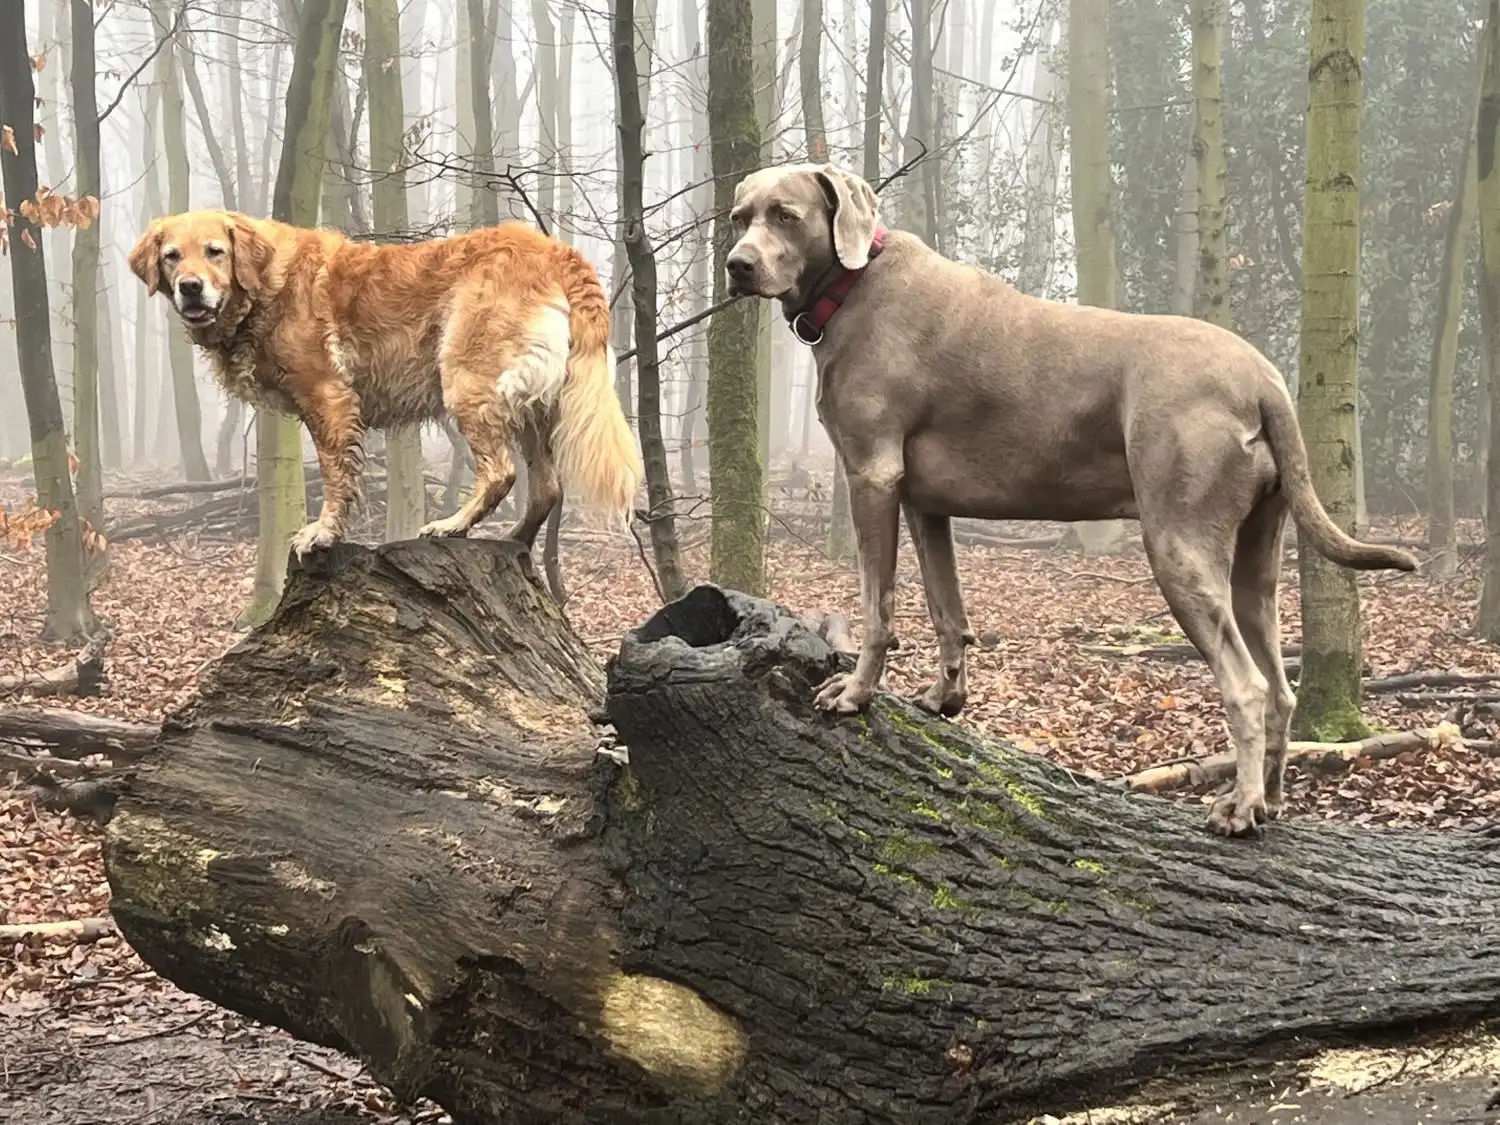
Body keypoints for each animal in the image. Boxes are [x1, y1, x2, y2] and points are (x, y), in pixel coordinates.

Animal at [726, 165, 1416, 840]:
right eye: (738, 217)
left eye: (786, 215)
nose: (736, 265)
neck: (854, 283)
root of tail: (1263, 377)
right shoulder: (925, 504)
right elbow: (949, 612)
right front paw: (944, 699)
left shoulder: (872, 477)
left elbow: (878, 609)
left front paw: (855, 694)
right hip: (1254, 559)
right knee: (1279, 688)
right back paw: (1268, 799)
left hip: (1179, 545)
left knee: (1245, 686)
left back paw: (1239, 808)